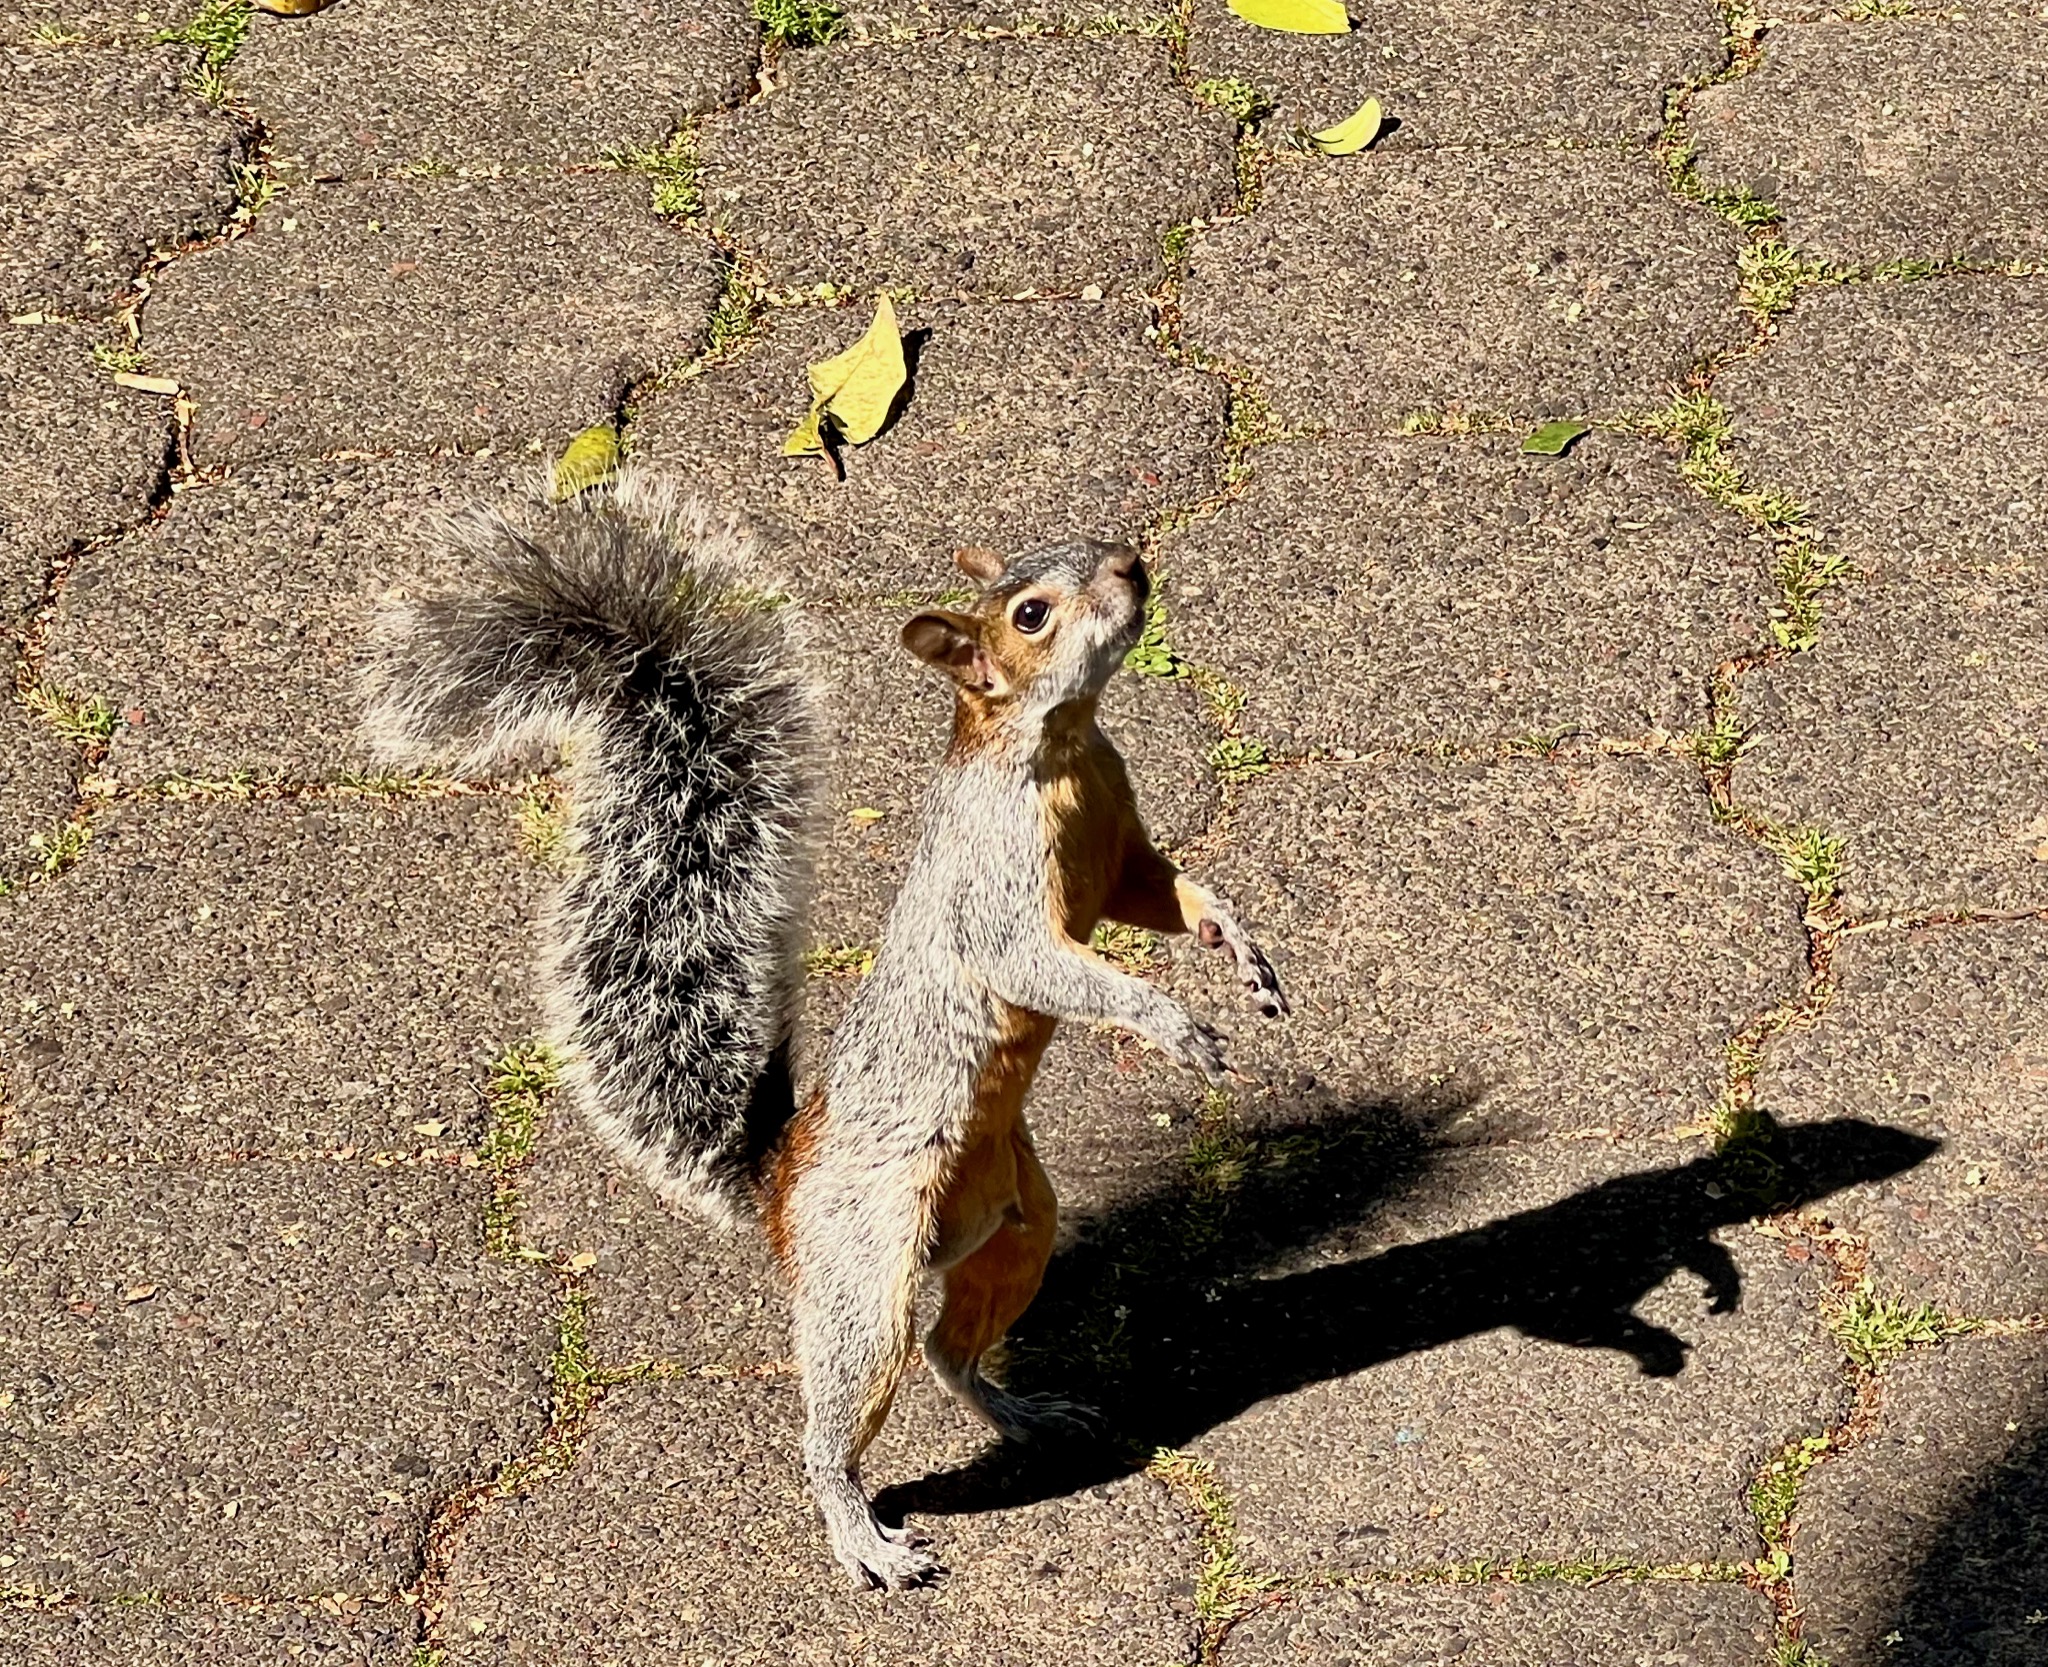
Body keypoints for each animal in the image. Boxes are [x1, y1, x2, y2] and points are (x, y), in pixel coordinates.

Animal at [359, 474, 1289, 1590]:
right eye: (1030, 615)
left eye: (1078, 542)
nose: (1129, 564)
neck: (1059, 751)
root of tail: (779, 1185)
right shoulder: (996, 895)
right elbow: (1042, 962)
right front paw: (1171, 1024)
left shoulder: (1122, 854)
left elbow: (1171, 893)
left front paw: (1240, 948)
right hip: (865, 1263)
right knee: (839, 1416)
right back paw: (863, 1536)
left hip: (1019, 1228)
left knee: (946, 1351)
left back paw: (1024, 1408)